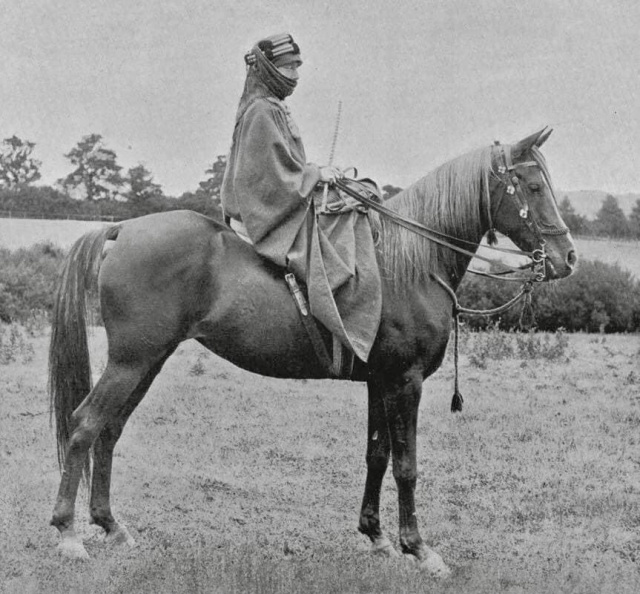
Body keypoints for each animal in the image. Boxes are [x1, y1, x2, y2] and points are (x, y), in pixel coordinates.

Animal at [48, 127, 576, 572]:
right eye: (532, 186)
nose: (568, 257)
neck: (410, 265)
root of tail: (123, 229)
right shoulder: (405, 382)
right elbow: (406, 466)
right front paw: (419, 548)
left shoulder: (380, 382)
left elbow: (377, 455)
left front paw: (376, 536)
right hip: (130, 361)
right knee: (85, 424)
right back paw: (68, 533)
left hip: (147, 362)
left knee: (109, 429)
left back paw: (110, 525)